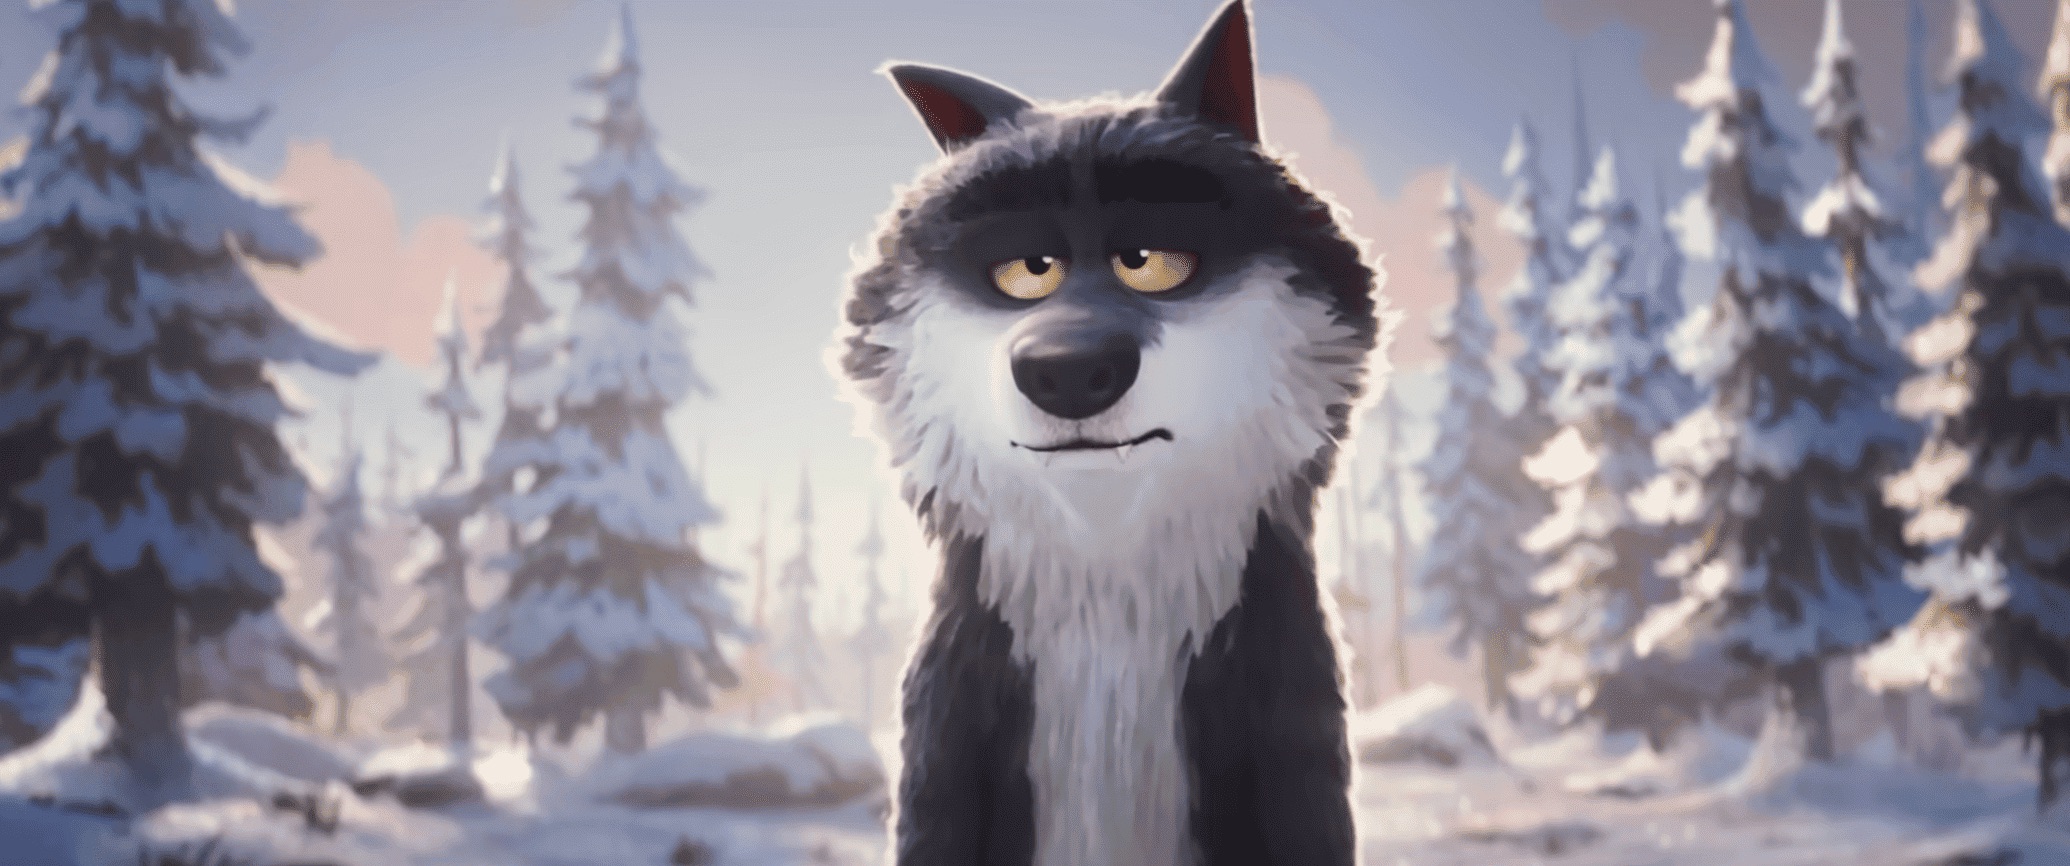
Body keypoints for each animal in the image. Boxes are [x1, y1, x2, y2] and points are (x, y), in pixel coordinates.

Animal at [832, 2, 1384, 864]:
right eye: (1028, 271)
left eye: (1149, 262)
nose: (1067, 370)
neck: (1110, 620)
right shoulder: (948, 743)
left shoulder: (1290, 739)